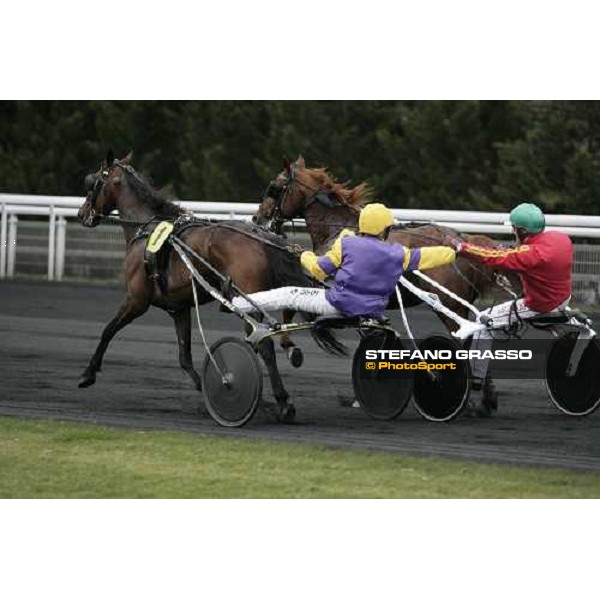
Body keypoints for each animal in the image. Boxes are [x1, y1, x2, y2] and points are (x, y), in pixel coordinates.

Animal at [77, 150, 304, 422]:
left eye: (93, 181)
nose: (82, 213)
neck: (146, 228)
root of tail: (260, 237)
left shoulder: (136, 300)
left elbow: (108, 330)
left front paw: (88, 373)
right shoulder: (179, 309)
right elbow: (184, 357)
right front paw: (206, 387)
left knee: (265, 345)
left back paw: (283, 402)